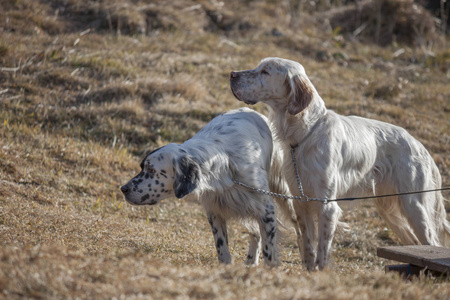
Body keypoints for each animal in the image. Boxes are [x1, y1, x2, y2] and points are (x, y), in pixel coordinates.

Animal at [121, 108, 294, 268]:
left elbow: (269, 252)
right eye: (142, 167)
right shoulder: (215, 212)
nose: (123, 189)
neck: (225, 170)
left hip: (281, 190)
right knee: (255, 234)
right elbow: (222, 250)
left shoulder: (266, 211)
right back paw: (251, 262)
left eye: (151, 169)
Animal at [230, 57, 448, 270]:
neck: (306, 133)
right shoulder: (301, 203)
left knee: (431, 243)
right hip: (390, 208)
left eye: (265, 71)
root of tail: (420, 145)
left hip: (413, 206)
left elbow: (322, 253)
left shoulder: (327, 206)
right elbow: (308, 249)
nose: (232, 74)